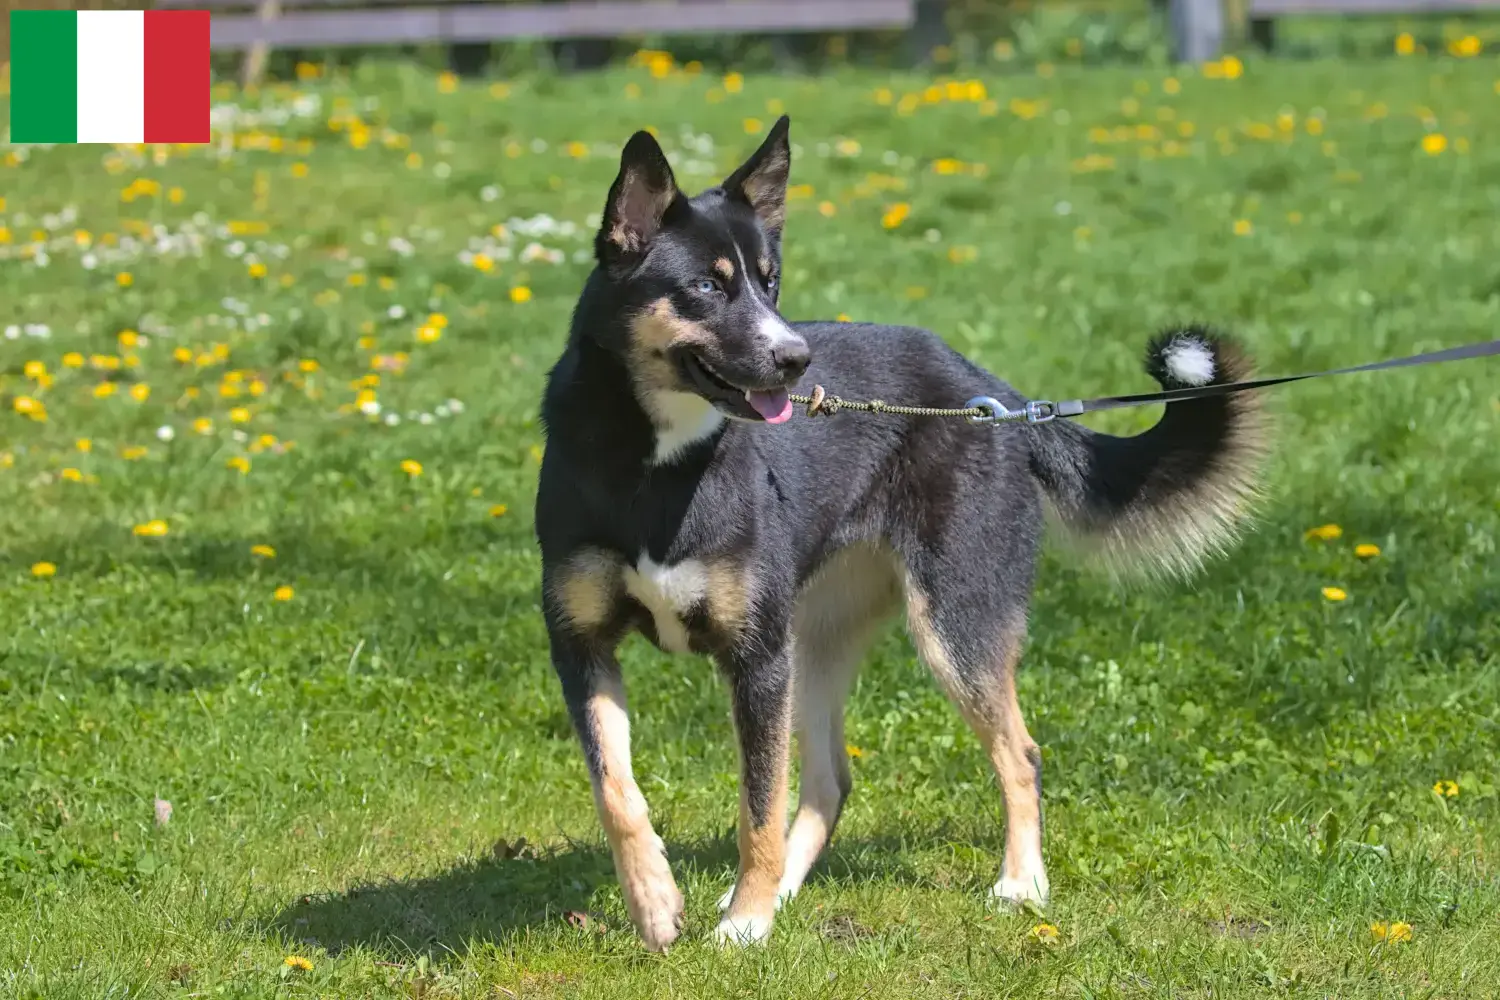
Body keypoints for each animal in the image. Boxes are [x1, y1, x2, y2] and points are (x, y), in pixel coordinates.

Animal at [534, 117, 1260, 953]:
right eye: (708, 287)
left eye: (770, 281)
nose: (796, 360)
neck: (655, 462)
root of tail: (996, 396)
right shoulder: (583, 646)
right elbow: (618, 791)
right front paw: (656, 902)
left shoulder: (756, 659)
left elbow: (757, 804)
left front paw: (745, 923)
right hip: (814, 639)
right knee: (828, 782)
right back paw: (781, 893)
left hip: (951, 622)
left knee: (1019, 753)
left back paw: (1018, 883)